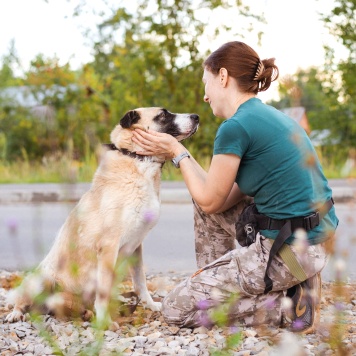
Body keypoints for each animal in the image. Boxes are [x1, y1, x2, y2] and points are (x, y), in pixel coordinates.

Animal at [5, 107, 199, 326]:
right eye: (163, 115)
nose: (197, 117)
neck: (137, 159)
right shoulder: (108, 247)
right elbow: (104, 290)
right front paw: (105, 321)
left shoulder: (136, 248)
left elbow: (140, 282)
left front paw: (150, 304)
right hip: (39, 279)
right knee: (22, 301)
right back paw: (16, 313)